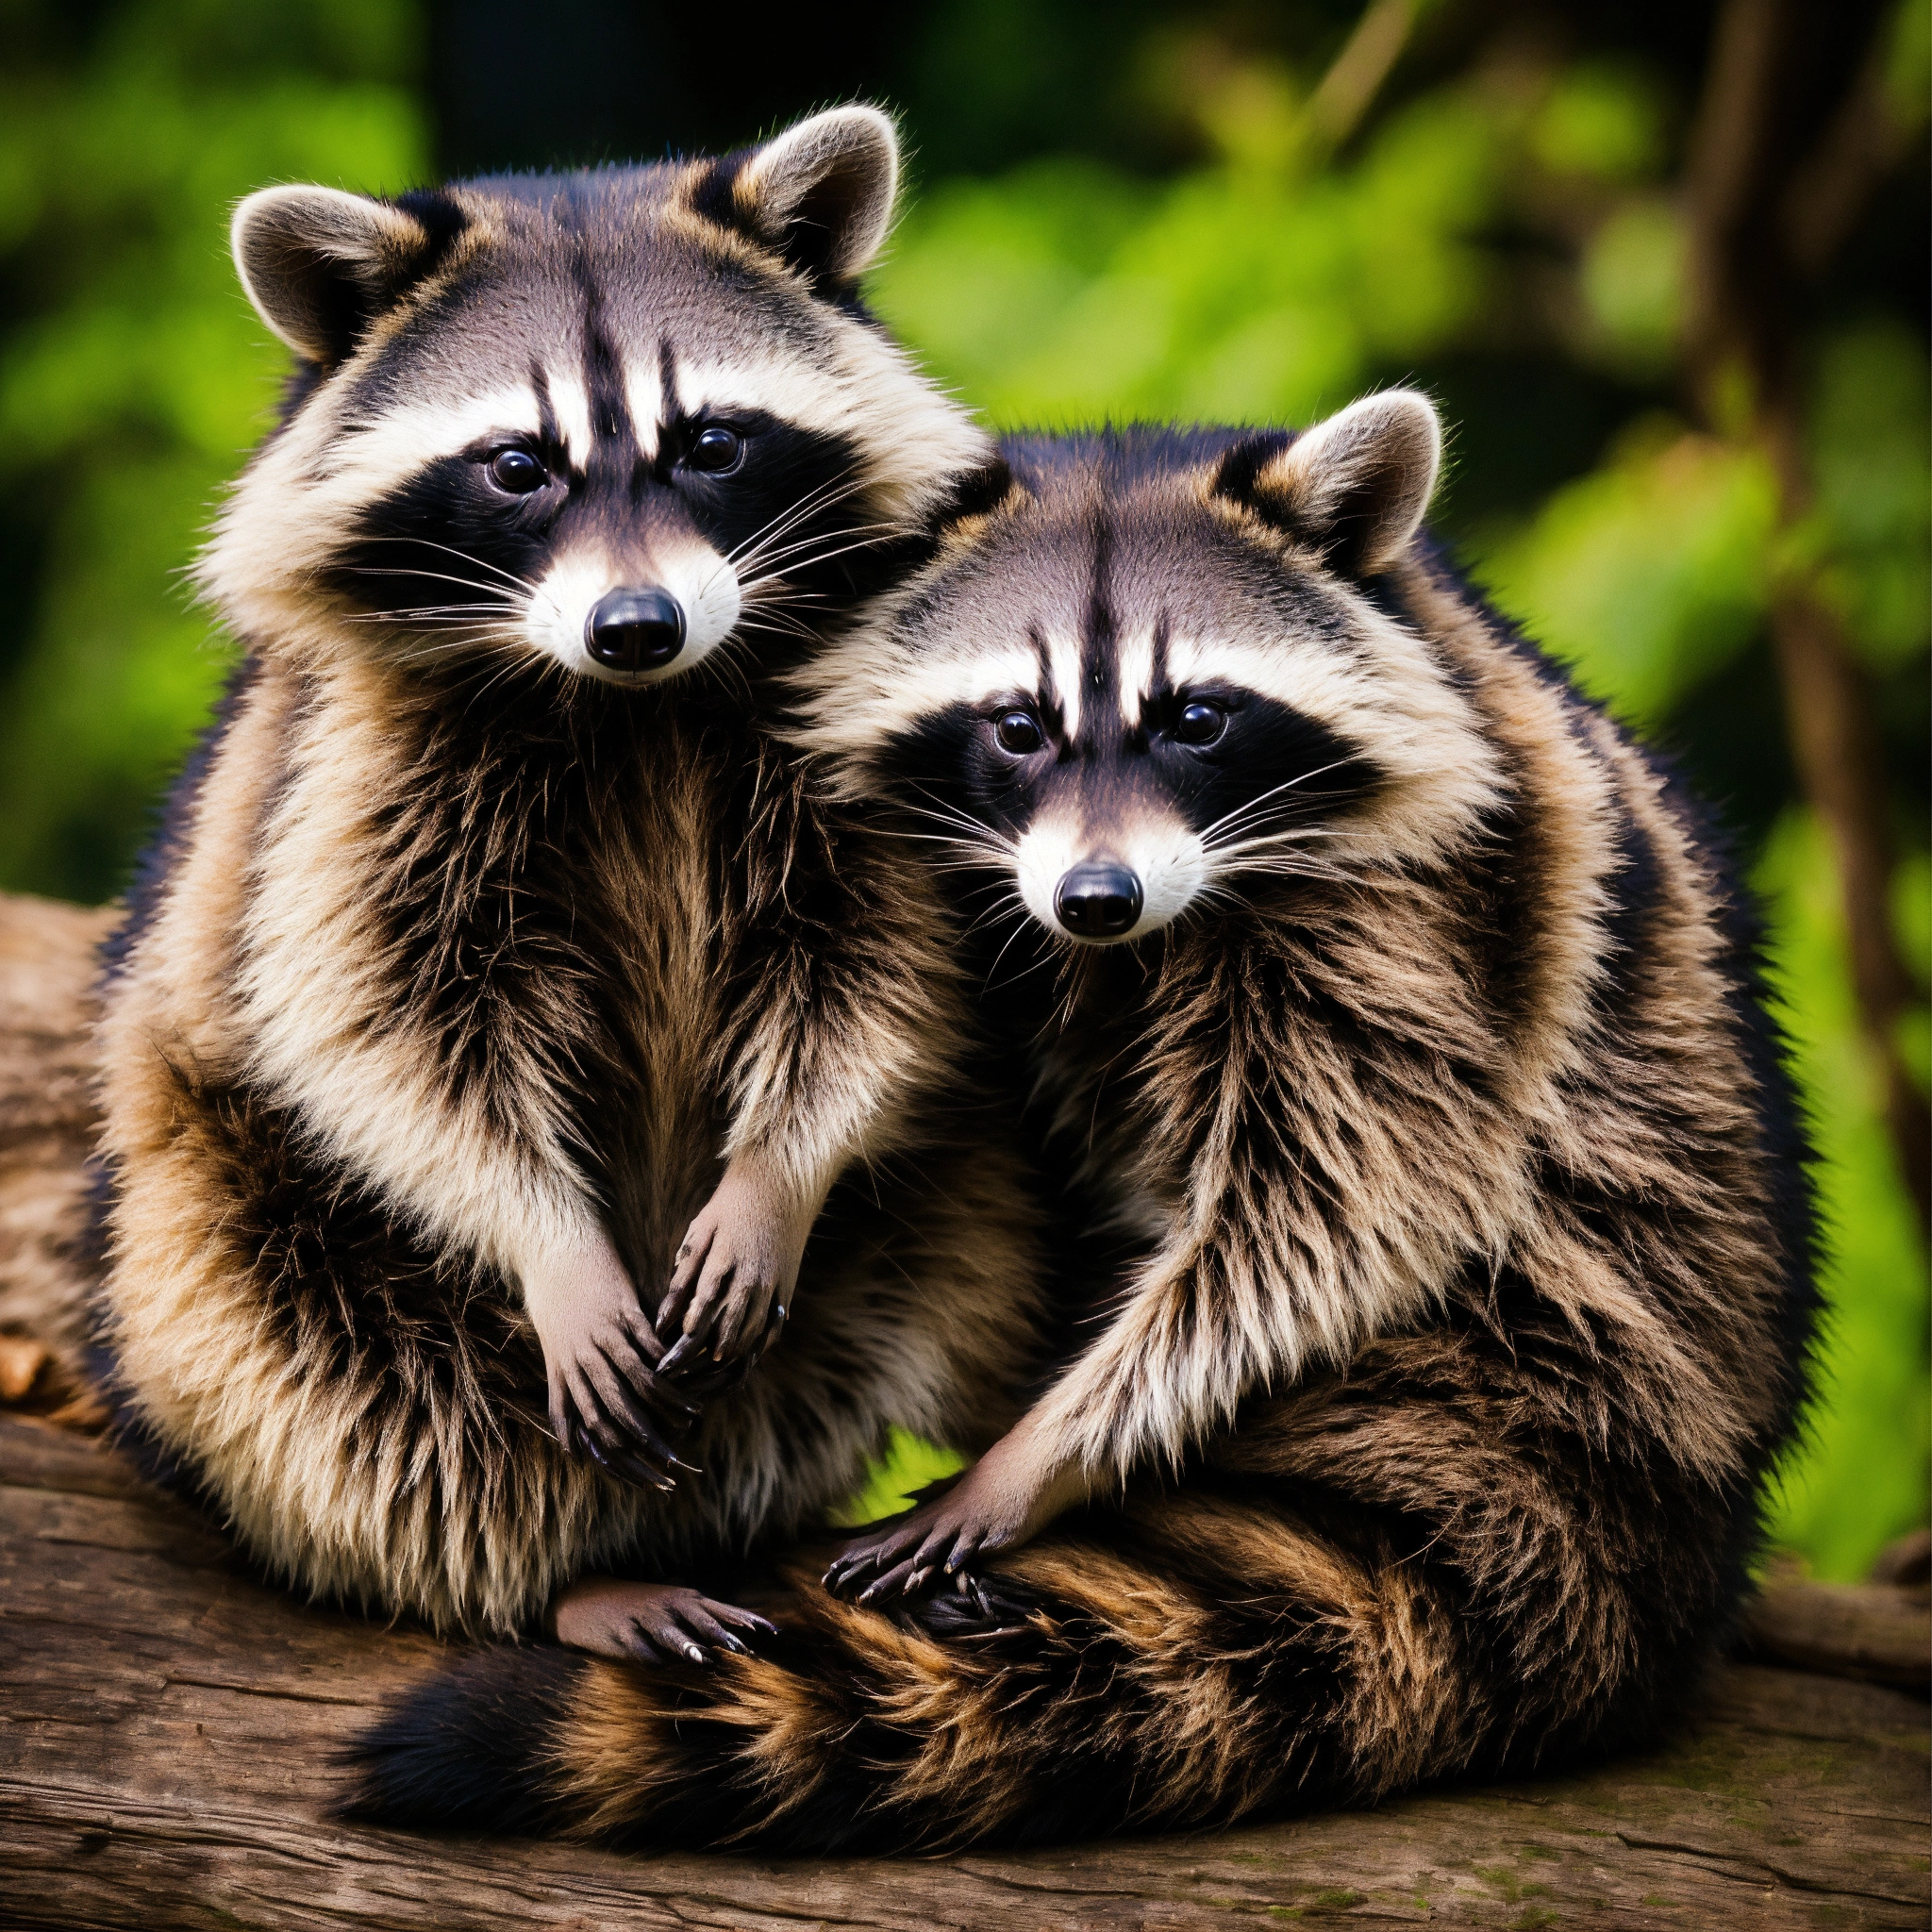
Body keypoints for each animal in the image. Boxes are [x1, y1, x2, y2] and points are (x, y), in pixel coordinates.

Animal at [92, 107, 1049, 1651]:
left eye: (709, 442)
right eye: (517, 465)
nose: (636, 623)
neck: (631, 706)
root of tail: (711, 1495)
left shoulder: (857, 729)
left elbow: (885, 975)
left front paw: (778, 1173)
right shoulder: (346, 773)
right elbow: (377, 1021)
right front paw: (547, 1244)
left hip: (930, 1231)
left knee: (978, 1249)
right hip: (214, 1237)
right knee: (322, 1393)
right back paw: (555, 1578)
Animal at [345, 390, 1816, 1848]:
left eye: (1197, 719)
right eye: (1017, 727)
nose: (1095, 899)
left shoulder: (1435, 917)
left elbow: (1319, 1220)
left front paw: (1043, 1454)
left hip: (1544, 1339)